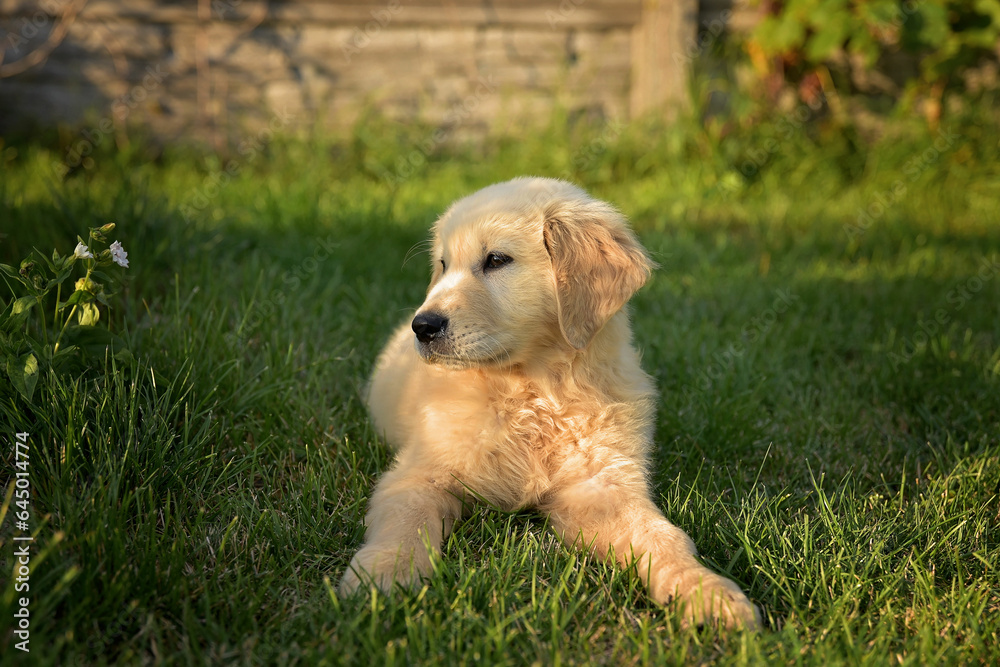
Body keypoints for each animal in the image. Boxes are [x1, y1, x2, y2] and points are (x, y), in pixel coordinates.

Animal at [340, 177, 760, 632]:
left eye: (496, 260)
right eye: (443, 265)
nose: (423, 326)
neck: (535, 392)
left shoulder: (600, 486)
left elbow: (663, 537)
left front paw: (704, 591)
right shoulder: (418, 474)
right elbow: (405, 522)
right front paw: (381, 576)